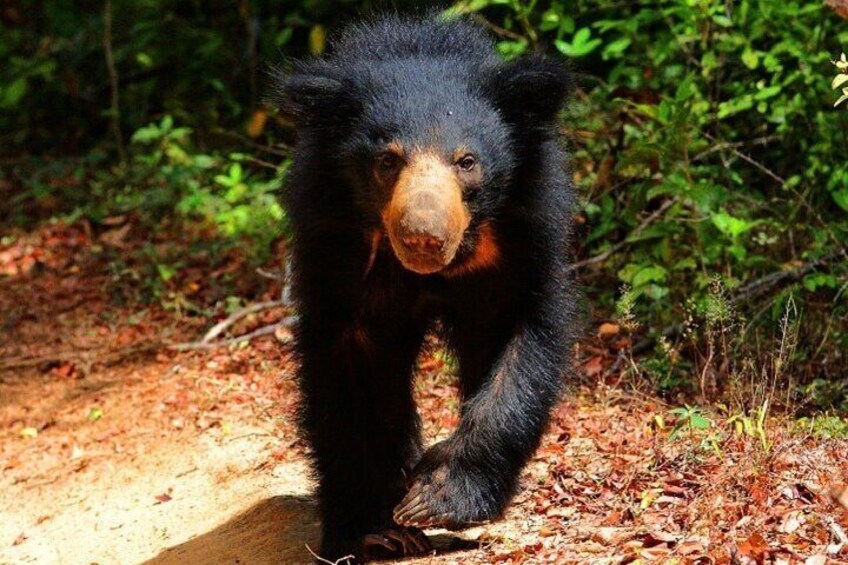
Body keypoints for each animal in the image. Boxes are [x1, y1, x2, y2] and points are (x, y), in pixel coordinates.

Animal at [274, 13, 580, 564]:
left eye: (467, 161)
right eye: (388, 160)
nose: (423, 236)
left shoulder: (524, 234)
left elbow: (517, 356)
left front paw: (438, 497)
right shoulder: (335, 244)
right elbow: (349, 376)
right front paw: (373, 530)